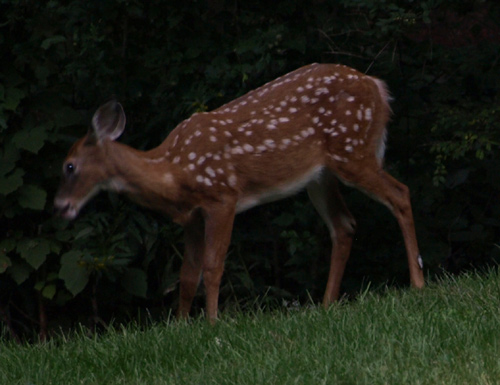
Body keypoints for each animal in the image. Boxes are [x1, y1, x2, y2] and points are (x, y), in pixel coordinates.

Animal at [54, 63, 424, 320]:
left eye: (69, 166)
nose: (59, 206)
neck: (173, 170)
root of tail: (377, 86)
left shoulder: (222, 196)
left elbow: (213, 266)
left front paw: (212, 322)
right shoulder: (191, 217)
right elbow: (187, 275)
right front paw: (181, 325)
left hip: (352, 151)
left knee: (400, 193)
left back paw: (418, 283)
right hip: (319, 177)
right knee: (344, 224)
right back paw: (326, 303)